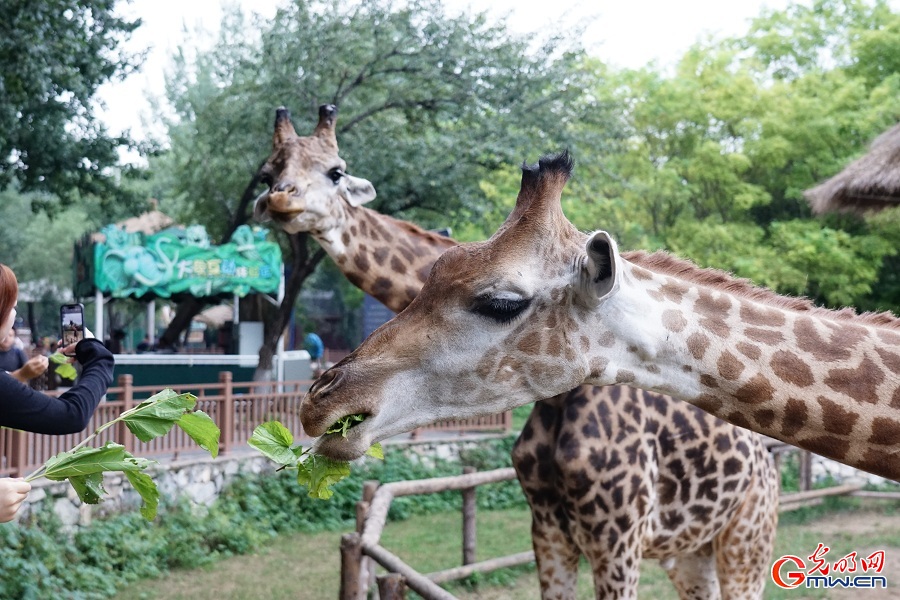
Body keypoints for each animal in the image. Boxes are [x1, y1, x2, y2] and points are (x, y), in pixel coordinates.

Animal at [256, 110, 776, 596]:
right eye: (269, 171)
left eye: (335, 172)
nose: (280, 199)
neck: (561, 400)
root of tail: (766, 459)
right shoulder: (547, 527)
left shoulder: (618, 536)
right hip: (688, 550)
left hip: (745, 537)